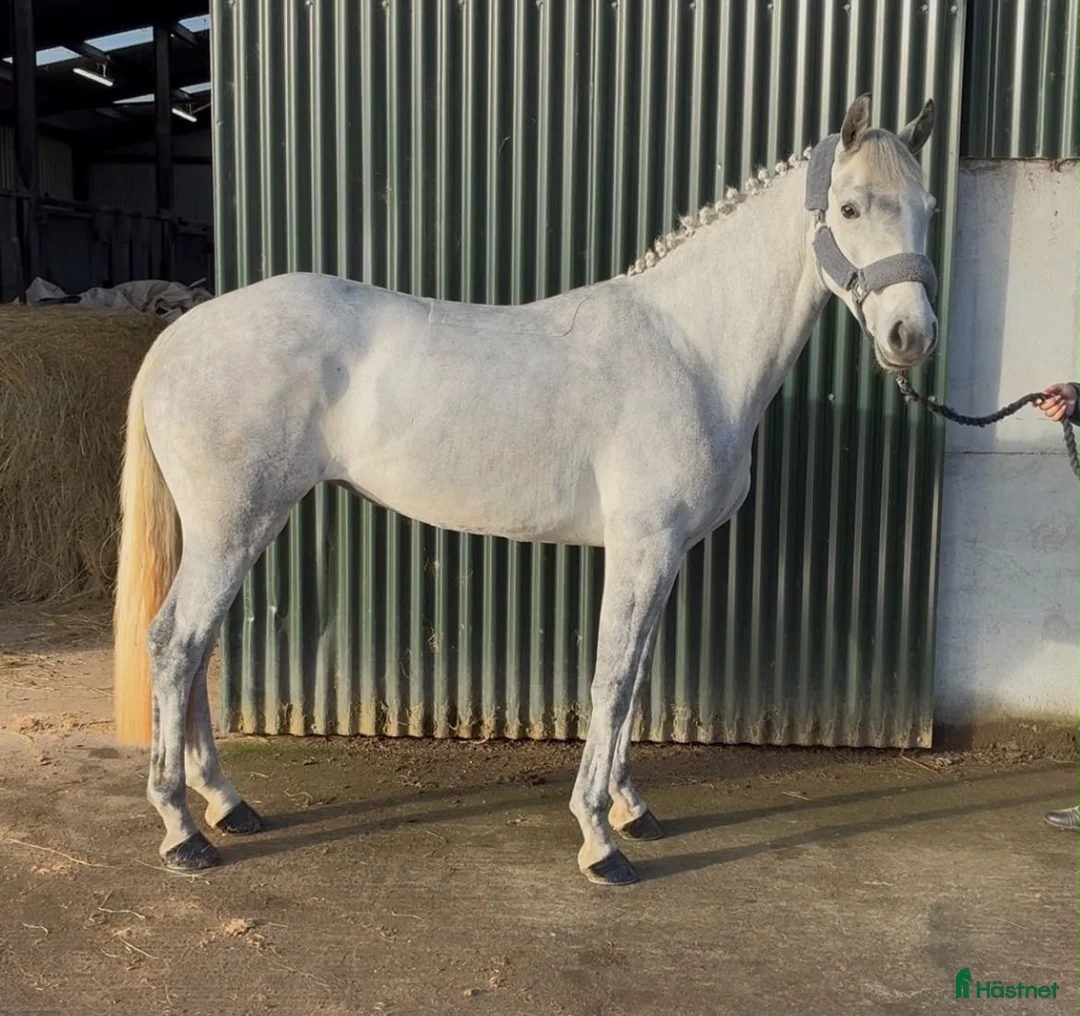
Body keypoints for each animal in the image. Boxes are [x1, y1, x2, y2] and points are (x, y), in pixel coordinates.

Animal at [113, 93, 939, 886]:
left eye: (929, 207)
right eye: (850, 208)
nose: (912, 336)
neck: (688, 348)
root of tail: (179, 339)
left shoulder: (662, 554)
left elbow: (636, 677)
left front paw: (633, 810)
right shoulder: (642, 548)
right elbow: (612, 680)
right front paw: (601, 840)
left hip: (228, 532)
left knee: (193, 649)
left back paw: (226, 804)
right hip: (233, 527)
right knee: (176, 644)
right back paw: (184, 830)